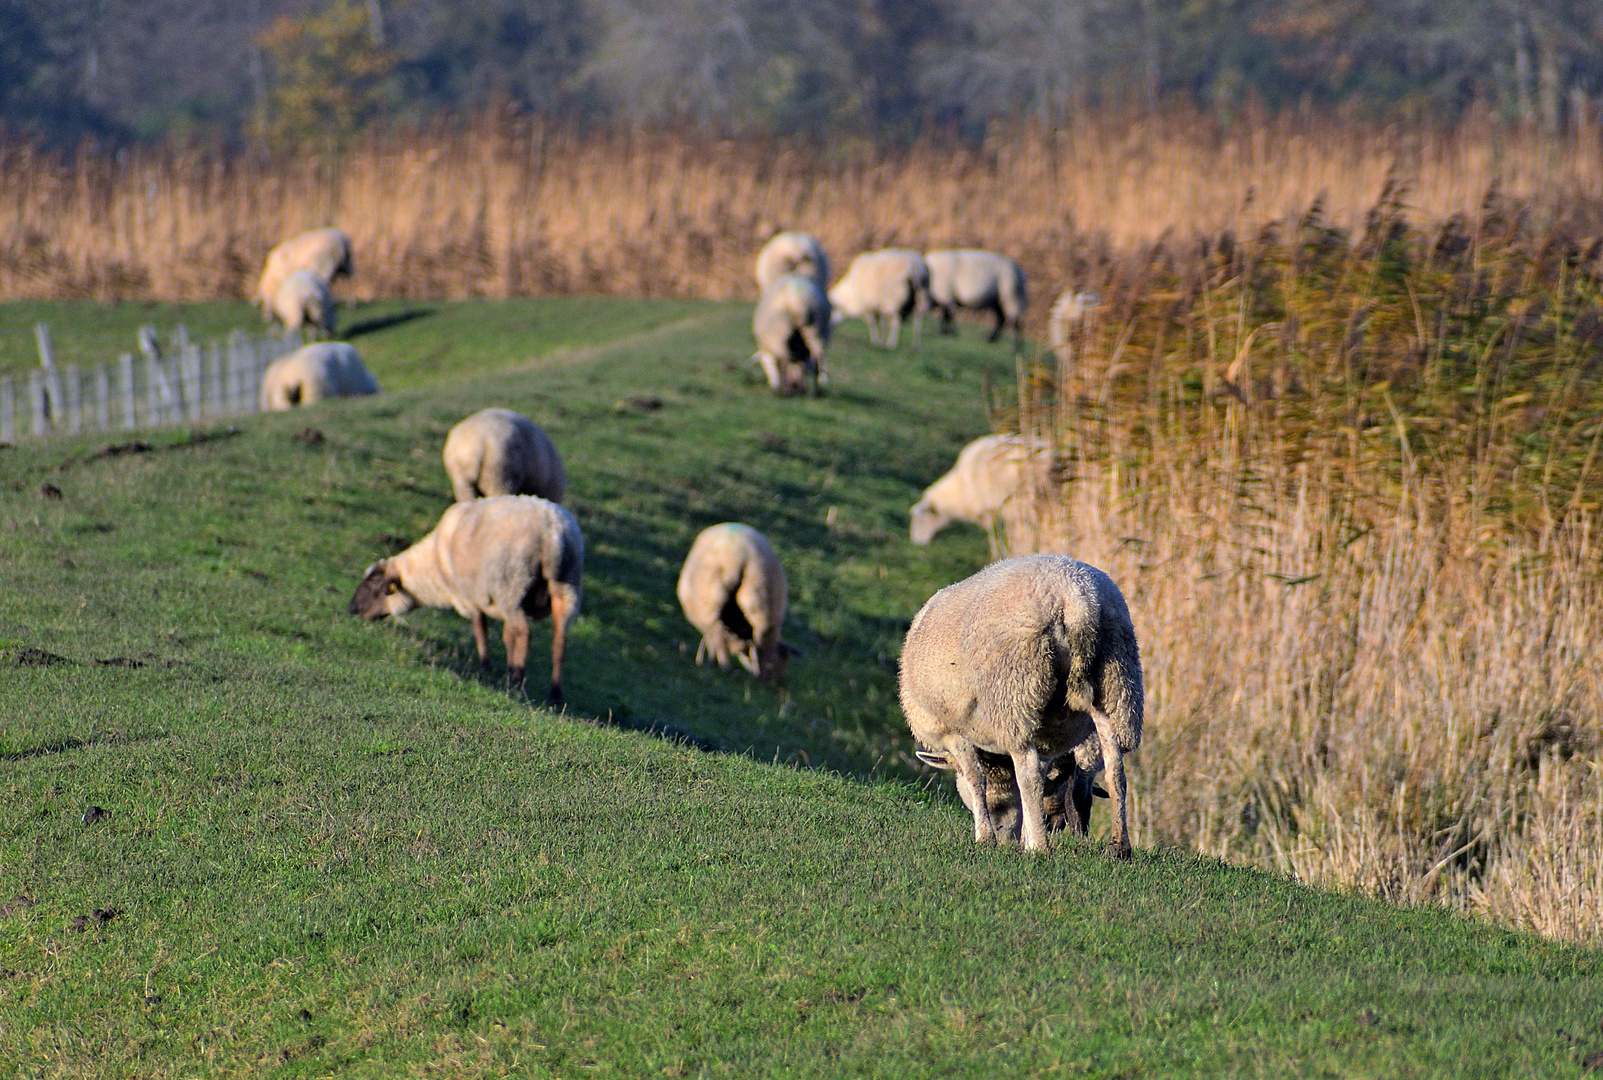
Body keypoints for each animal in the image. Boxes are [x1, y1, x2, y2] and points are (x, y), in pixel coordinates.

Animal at [347, 493, 586, 701]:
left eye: (373, 584)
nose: (351, 610)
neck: (434, 564)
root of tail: (553, 534)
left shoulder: (471, 597)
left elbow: (481, 630)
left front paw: (486, 667)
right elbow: (506, 636)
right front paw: (503, 669)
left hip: (511, 585)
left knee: (523, 633)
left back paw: (516, 684)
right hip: (566, 587)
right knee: (559, 642)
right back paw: (554, 694)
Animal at [676, 522, 795, 682]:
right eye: (783, 660)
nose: (781, 681)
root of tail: (734, 561)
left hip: (709, 604)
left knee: (719, 635)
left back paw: (727, 668)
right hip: (760, 604)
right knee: (760, 644)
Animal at [897, 554, 1147, 852]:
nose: (1004, 835)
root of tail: (1075, 598)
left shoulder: (950, 732)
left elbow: (976, 777)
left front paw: (986, 837)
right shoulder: (1049, 735)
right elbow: (1039, 779)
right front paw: (1022, 832)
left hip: (1015, 689)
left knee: (1027, 771)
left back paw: (1039, 847)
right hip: (1116, 679)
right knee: (1114, 765)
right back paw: (1119, 847)